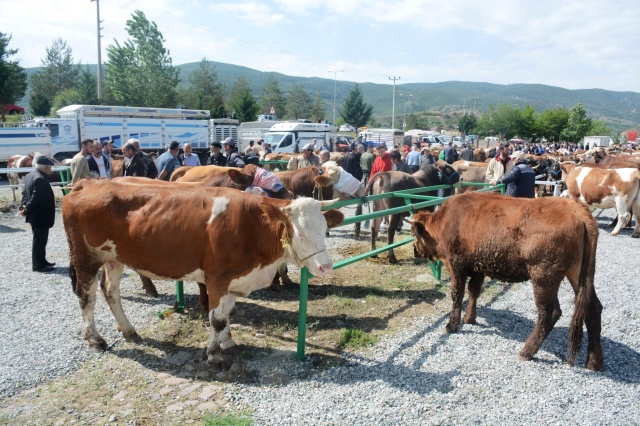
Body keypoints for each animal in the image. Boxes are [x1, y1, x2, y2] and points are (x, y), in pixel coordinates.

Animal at [63, 178, 344, 364]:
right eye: (300, 233)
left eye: (325, 228)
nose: (325, 266)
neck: (251, 226)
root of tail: (87, 184)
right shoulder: (216, 278)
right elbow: (216, 318)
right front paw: (213, 353)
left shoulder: (233, 279)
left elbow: (227, 313)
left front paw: (228, 342)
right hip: (86, 258)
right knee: (86, 297)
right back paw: (95, 339)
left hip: (114, 258)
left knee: (111, 291)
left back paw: (129, 330)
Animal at [410, 191, 604, 372]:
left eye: (413, 234)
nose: (415, 251)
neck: (446, 220)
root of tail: (577, 210)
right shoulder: (478, 267)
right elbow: (474, 291)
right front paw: (469, 318)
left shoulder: (457, 265)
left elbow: (457, 294)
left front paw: (451, 325)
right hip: (579, 273)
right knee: (593, 307)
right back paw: (594, 362)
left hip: (543, 277)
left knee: (549, 312)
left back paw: (526, 352)